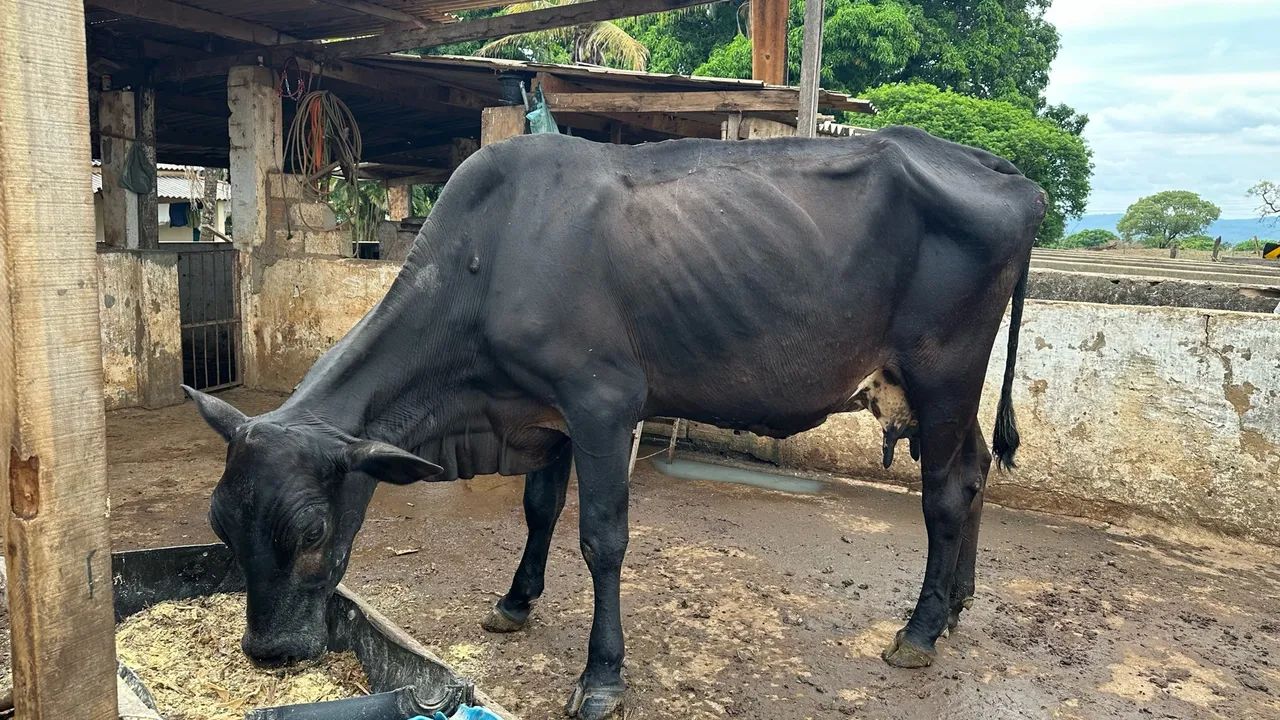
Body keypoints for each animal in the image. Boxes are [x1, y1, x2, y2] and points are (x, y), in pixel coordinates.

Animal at [186, 126, 1045, 720]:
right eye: (221, 525)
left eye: (312, 534)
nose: (268, 653)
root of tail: (1002, 171)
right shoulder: (542, 412)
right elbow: (539, 510)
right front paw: (515, 602)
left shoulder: (601, 401)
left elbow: (601, 538)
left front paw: (601, 677)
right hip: (940, 389)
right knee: (972, 476)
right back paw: (958, 603)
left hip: (943, 372)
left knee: (947, 491)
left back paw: (921, 631)